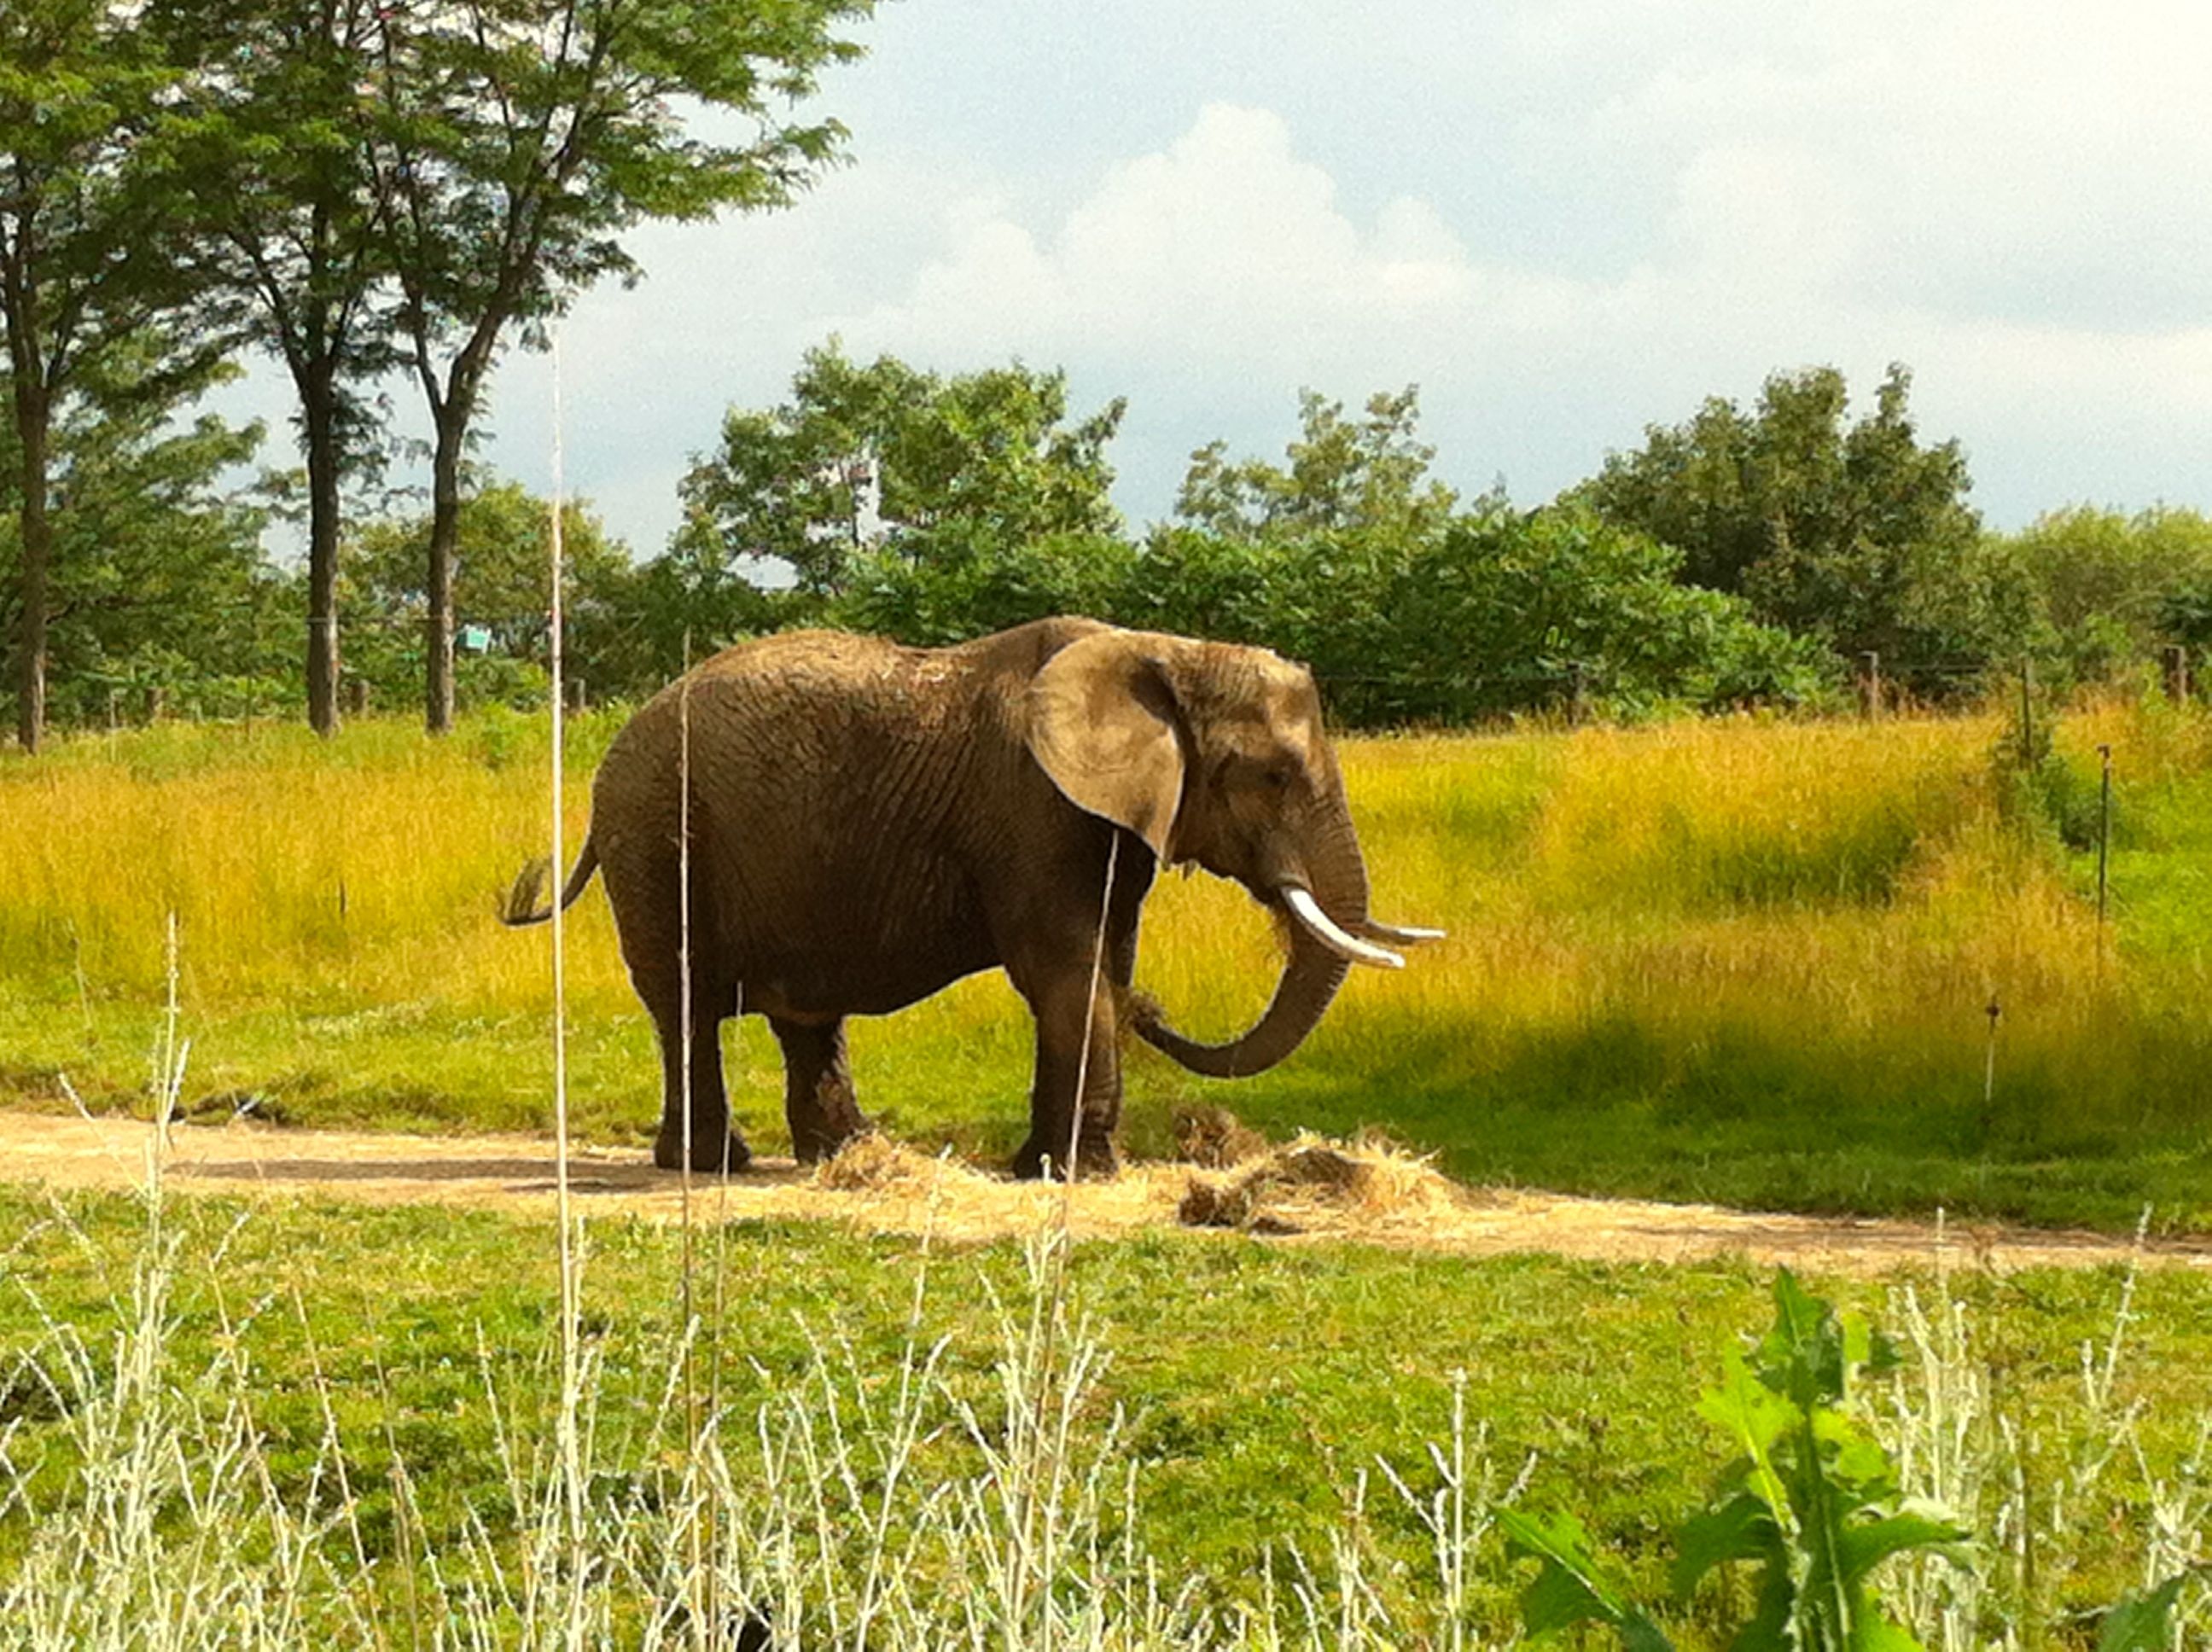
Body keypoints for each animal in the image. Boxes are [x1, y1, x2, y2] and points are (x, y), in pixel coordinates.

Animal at [502, 619, 1441, 1176]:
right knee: (687, 1004)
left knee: (802, 1013)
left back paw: (845, 1155)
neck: (1166, 653)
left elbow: (1100, 966)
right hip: (658, 840)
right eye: (1272, 777)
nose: (1161, 1012)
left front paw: (1047, 1166)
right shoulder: (1034, 810)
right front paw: (1081, 1173)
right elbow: (1067, 972)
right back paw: (716, 1166)